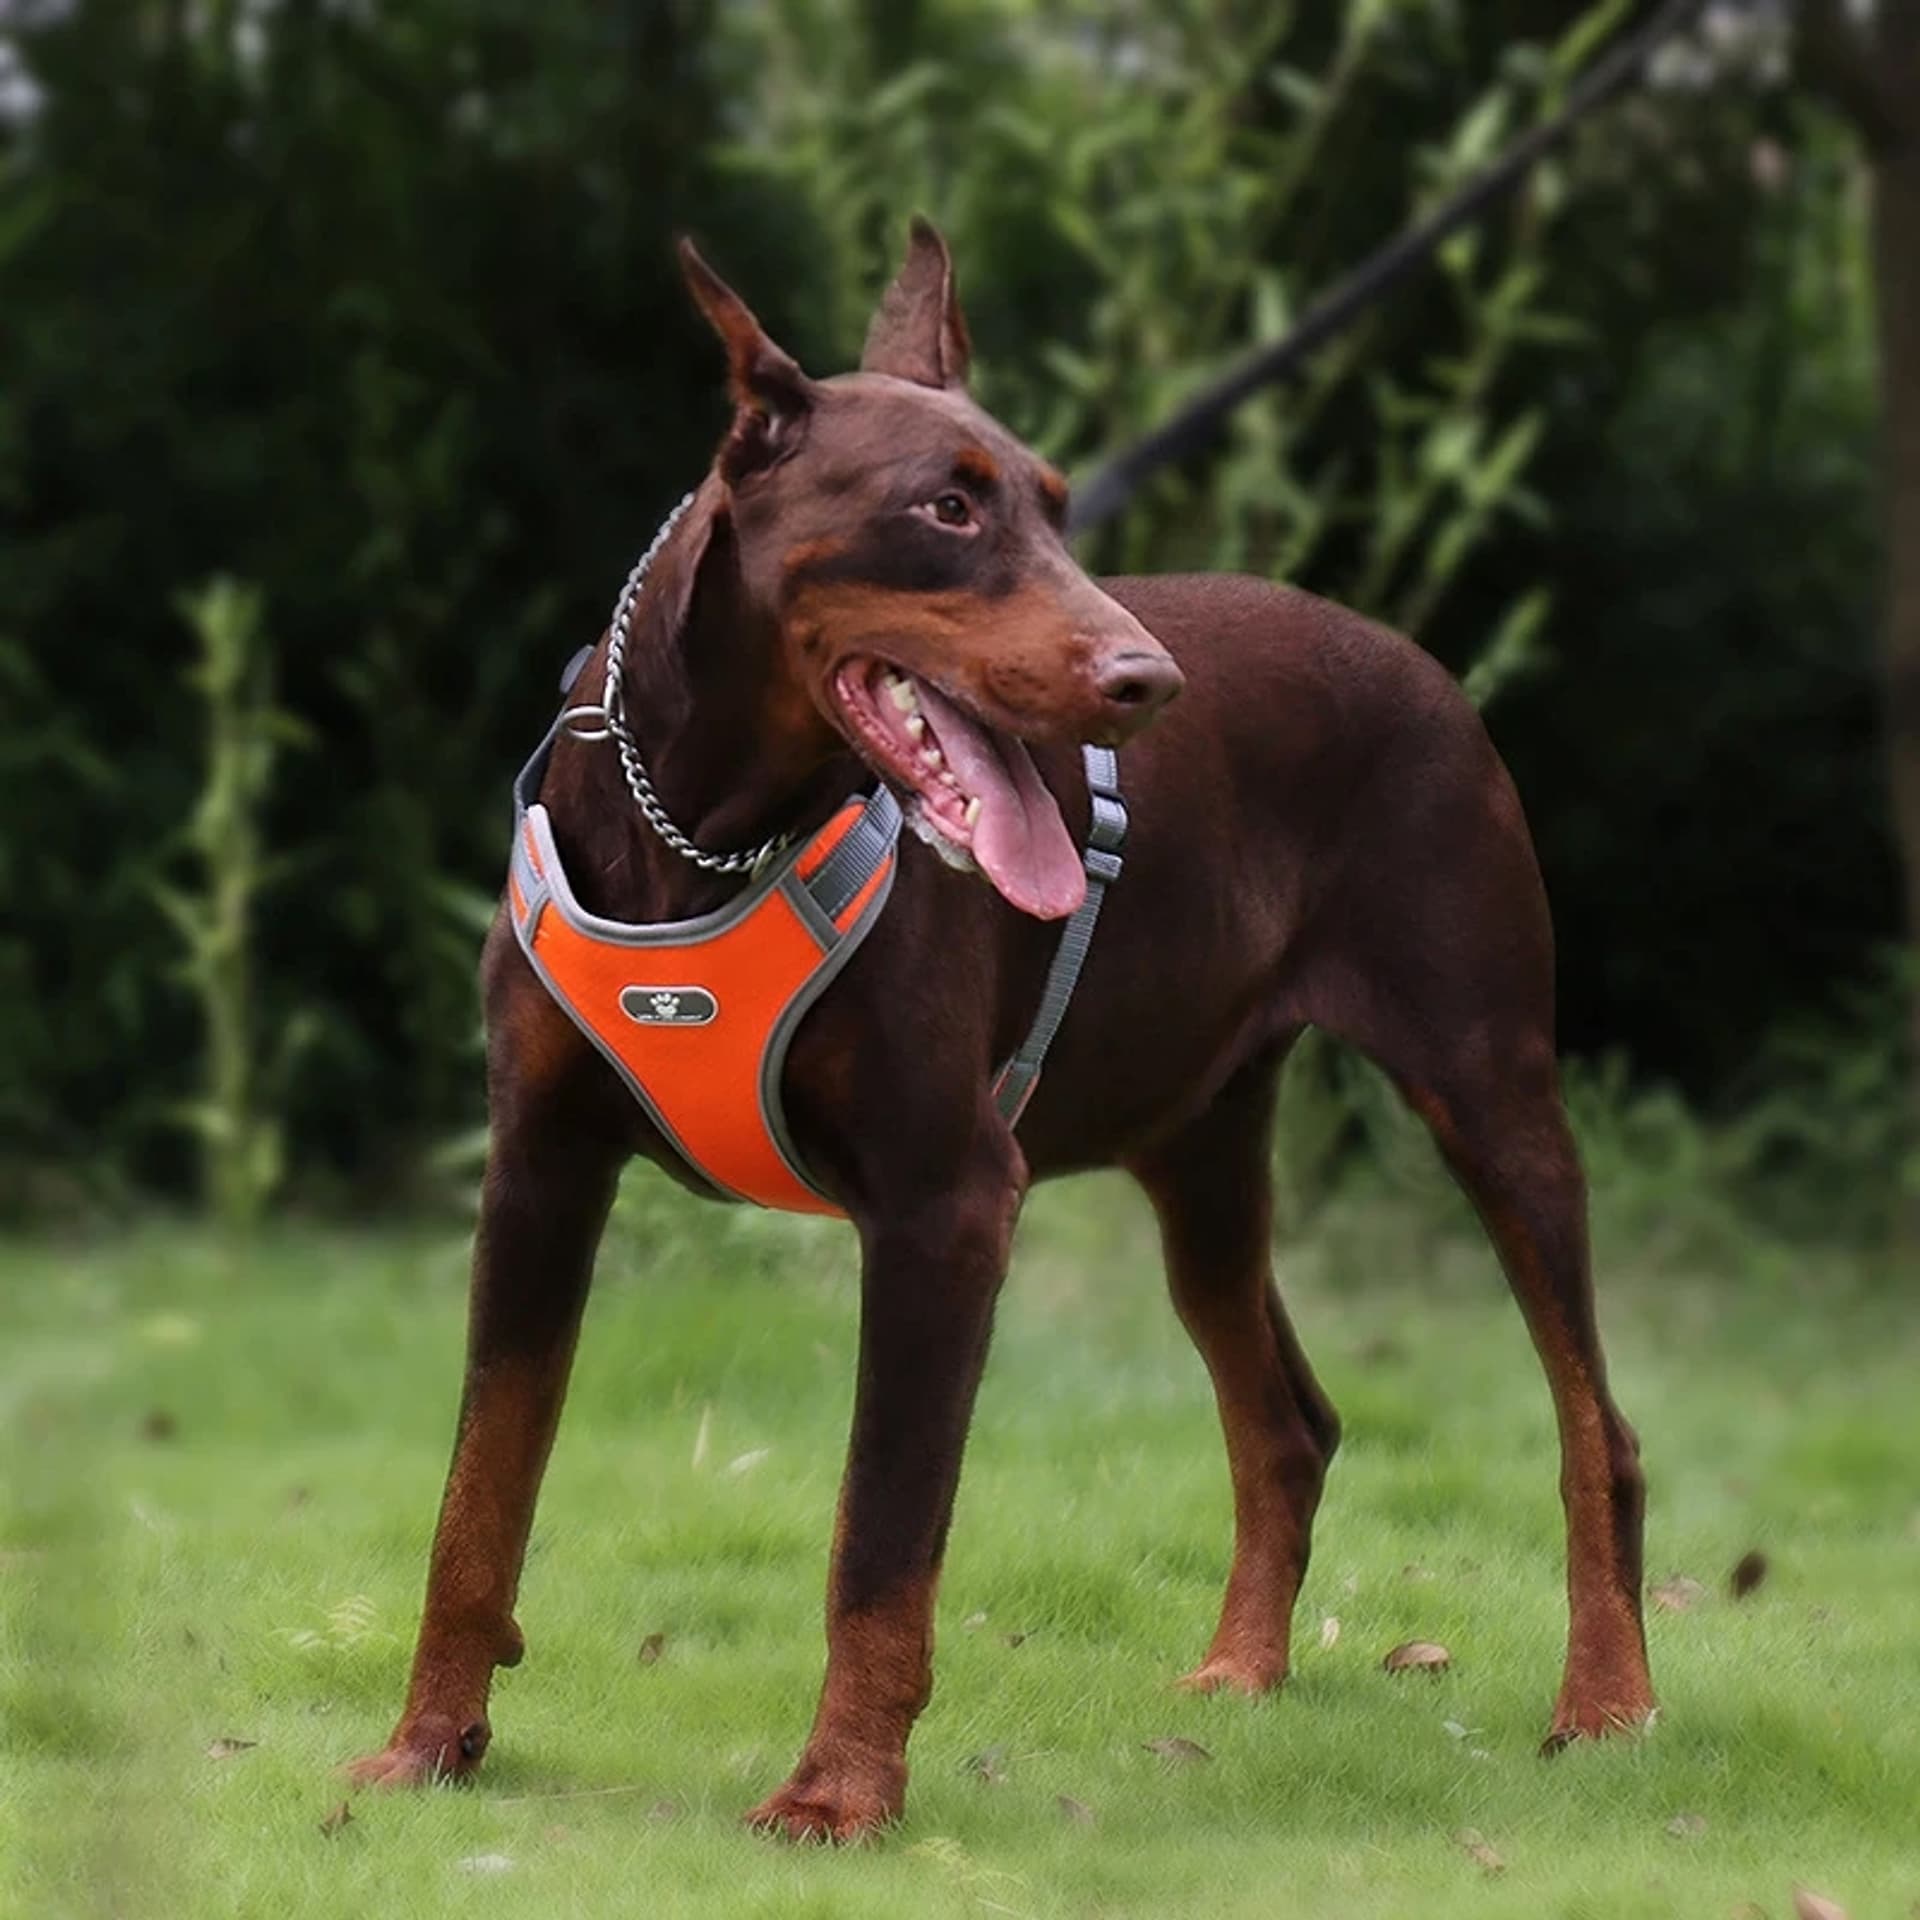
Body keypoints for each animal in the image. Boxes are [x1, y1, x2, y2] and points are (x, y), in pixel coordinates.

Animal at [341, 217, 1651, 1835]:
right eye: (944, 509)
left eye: (1056, 507)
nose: (1146, 682)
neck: (704, 836)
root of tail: (1420, 666)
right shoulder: (537, 1169)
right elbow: (480, 1490)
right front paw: (425, 1744)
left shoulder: (946, 1201)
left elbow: (881, 1533)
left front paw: (838, 1795)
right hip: (1199, 1150)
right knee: (1286, 1416)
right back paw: (1243, 1674)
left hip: (1488, 1083)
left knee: (1596, 1426)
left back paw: (1607, 1702)